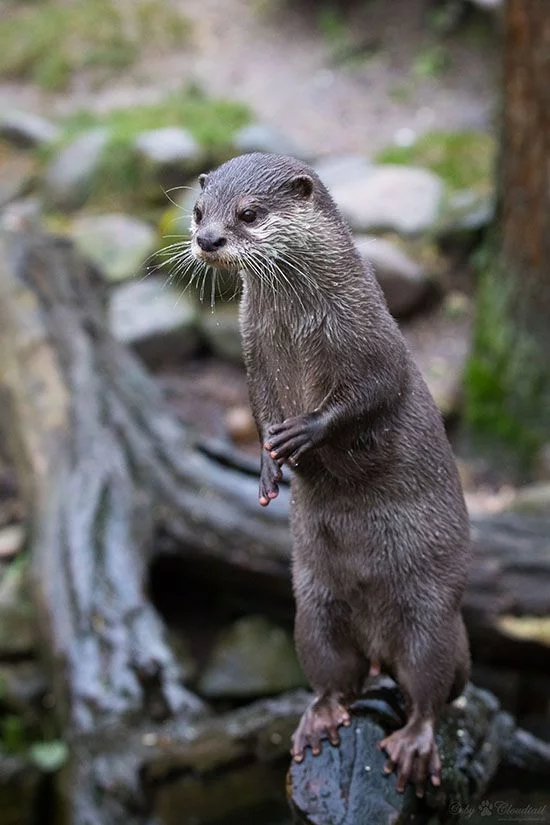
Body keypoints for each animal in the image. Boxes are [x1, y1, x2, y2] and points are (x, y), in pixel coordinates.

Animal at [192, 151, 472, 796]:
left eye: (248, 213)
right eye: (197, 209)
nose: (207, 239)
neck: (300, 330)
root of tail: (378, 644)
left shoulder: (374, 340)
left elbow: (374, 392)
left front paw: (307, 431)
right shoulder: (254, 355)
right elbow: (261, 409)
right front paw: (268, 467)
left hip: (432, 615)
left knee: (430, 688)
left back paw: (414, 742)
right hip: (315, 612)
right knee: (335, 676)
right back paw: (320, 717)